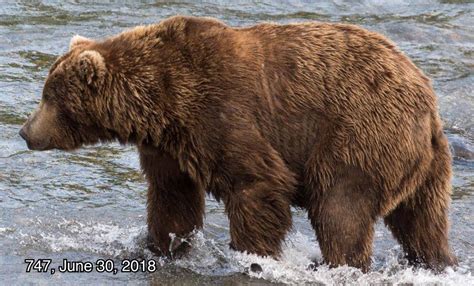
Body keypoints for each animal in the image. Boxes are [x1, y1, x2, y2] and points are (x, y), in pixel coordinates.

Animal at [20, 16, 458, 272]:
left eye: (48, 96)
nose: (25, 132)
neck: (159, 103)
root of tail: (428, 103)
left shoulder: (221, 111)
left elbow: (256, 183)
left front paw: (252, 253)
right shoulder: (169, 146)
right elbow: (172, 197)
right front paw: (160, 246)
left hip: (358, 134)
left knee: (340, 207)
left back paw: (337, 264)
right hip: (425, 166)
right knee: (422, 221)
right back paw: (436, 262)